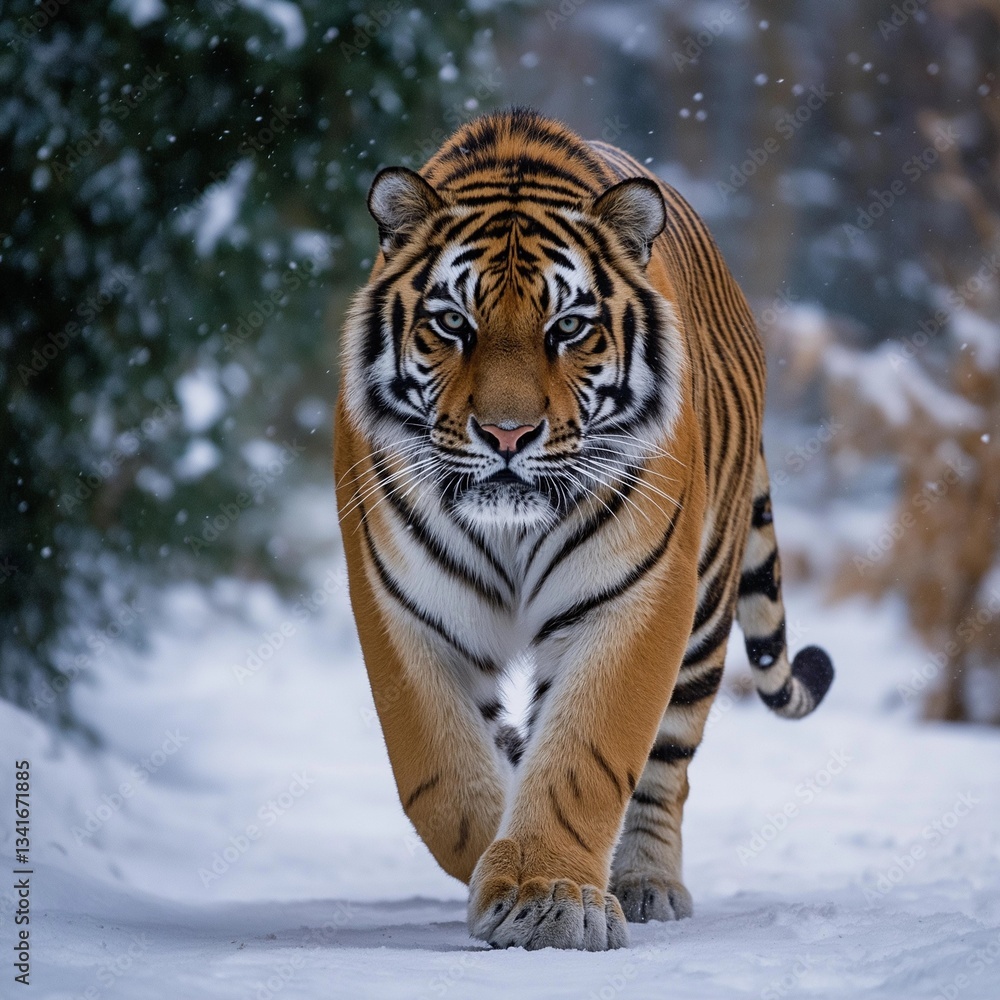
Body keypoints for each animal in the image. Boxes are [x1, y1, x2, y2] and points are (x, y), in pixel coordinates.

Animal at [334, 108, 834, 952]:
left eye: (568, 327)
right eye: (451, 323)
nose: (507, 434)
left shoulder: (632, 597)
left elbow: (584, 756)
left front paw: (545, 895)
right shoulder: (402, 604)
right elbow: (440, 769)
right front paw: (496, 858)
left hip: (704, 613)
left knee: (667, 766)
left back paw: (648, 884)